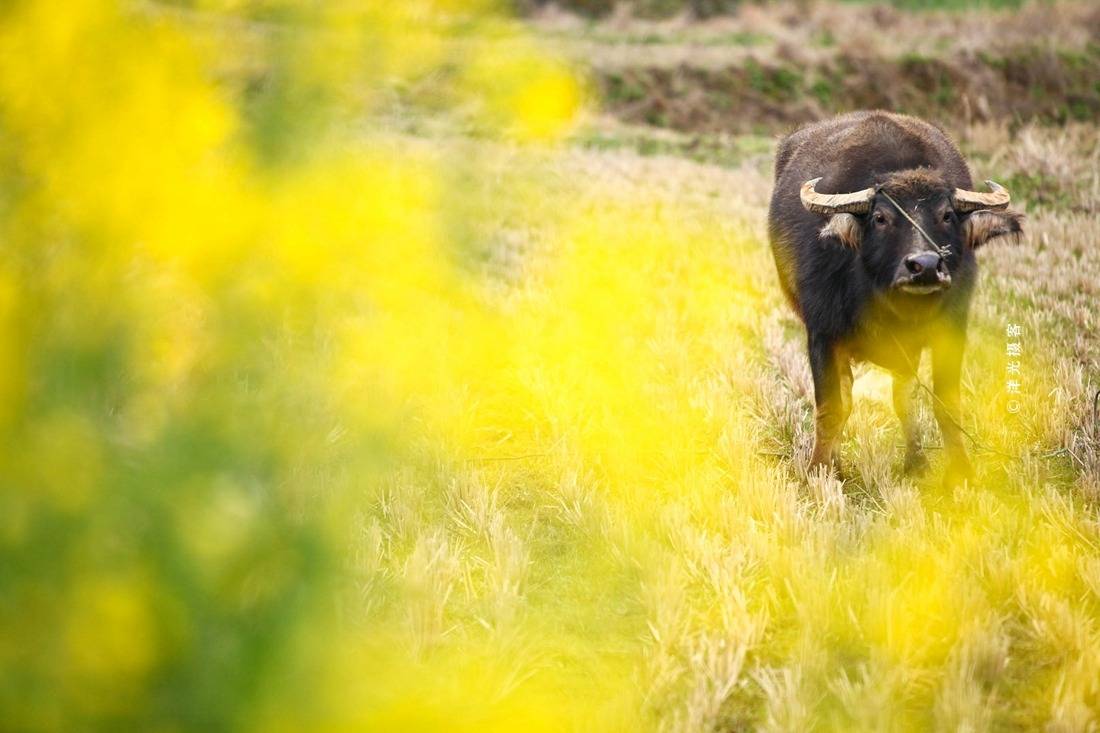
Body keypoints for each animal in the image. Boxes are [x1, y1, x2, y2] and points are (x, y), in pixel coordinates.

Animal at [765, 110, 1020, 484]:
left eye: (946, 215)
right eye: (880, 218)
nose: (924, 266)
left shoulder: (951, 331)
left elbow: (944, 403)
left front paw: (960, 471)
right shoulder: (822, 335)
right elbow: (831, 407)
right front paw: (818, 472)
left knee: (902, 394)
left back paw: (915, 460)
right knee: (848, 394)